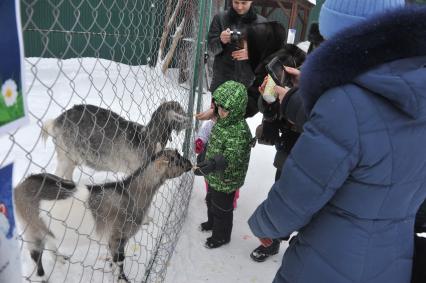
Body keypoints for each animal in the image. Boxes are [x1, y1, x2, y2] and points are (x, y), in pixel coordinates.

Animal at [14, 150, 192, 282]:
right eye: (177, 160)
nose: (191, 164)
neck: (129, 194)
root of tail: (19, 188)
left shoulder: (111, 239)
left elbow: (114, 259)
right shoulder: (117, 236)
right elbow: (120, 260)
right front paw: (122, 279)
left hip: (44, 226)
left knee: (50, 240)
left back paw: (60, 259)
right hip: (31, 227)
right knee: (35, 254)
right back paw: (42, 277)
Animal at [41, 101, 191, 179]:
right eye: (179, 112)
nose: (190, 121)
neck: (146, 138)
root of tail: (56, 121)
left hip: (72, 159)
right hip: (65, 156)